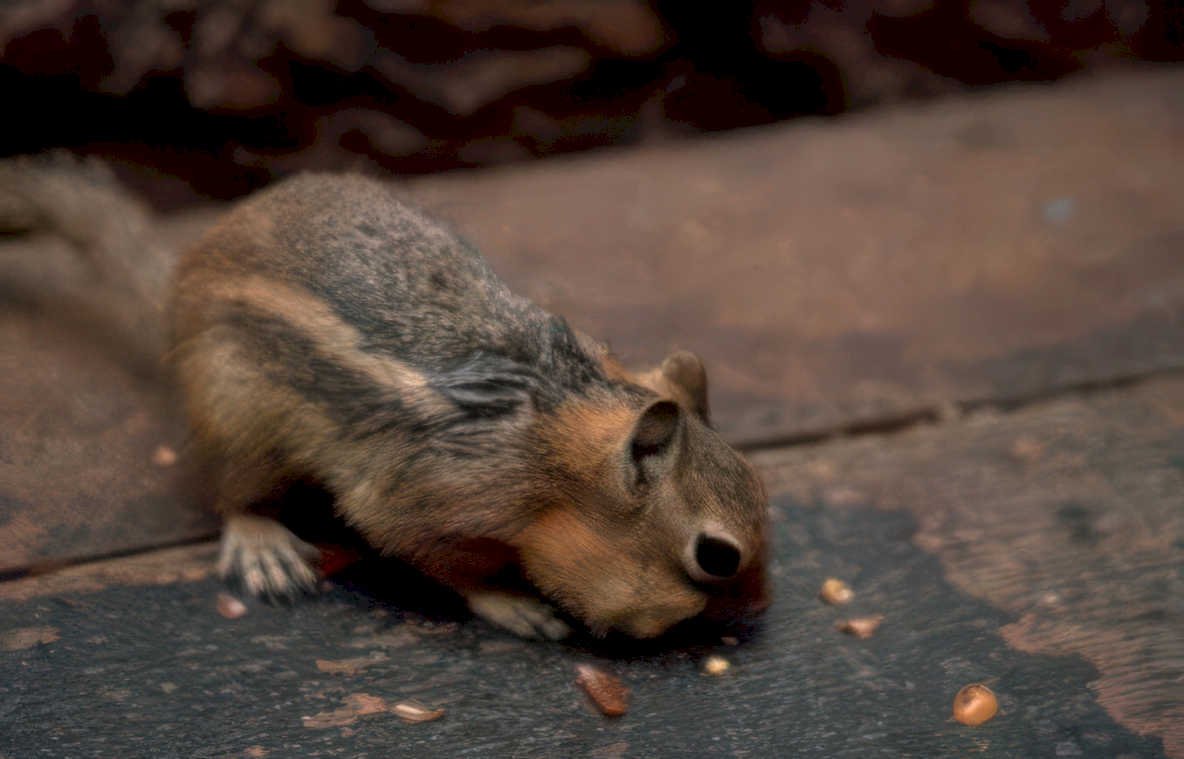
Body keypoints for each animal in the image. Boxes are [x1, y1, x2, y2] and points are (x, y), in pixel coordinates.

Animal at [5, 159, 769, 640]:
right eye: (716, 557)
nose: (759, 612)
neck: (556, 450)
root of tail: (181, 286)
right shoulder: (424, 500)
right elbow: (438, 558)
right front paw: (512, 602)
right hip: (238, 420)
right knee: (234, 495)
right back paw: (261, 542)